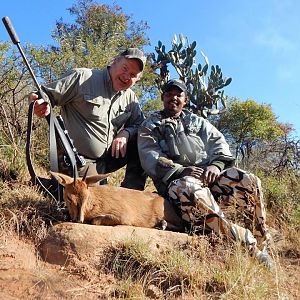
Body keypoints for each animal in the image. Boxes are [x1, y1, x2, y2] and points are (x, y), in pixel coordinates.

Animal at [50, 171, 184, 232]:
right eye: (68, 197)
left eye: (86, 196)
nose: (78, 219)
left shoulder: (124, 216)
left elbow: (95, 220)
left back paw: (162, 225)